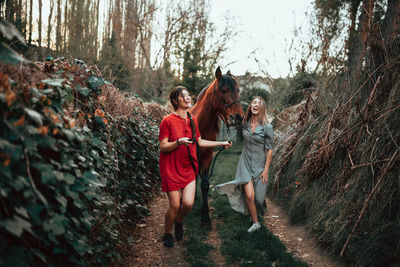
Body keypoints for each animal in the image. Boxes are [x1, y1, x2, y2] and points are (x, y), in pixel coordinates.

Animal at [191, 67, 244, 228]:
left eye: (238, 90)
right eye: (224, 90)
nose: (239, 117)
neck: (200, 124)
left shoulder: (207, 157)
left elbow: (205, 184)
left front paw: (205, 217)